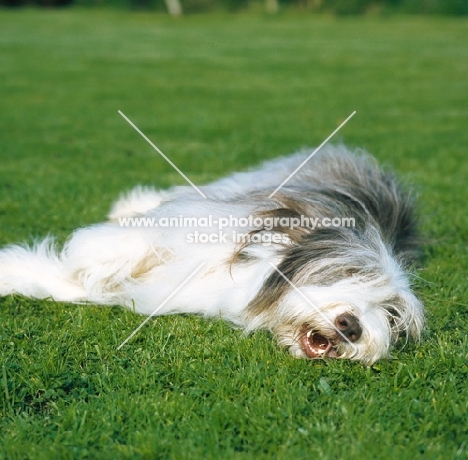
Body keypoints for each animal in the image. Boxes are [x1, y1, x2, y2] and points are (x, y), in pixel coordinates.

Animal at [0, 144, 424, 362]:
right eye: (347, 274)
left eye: (391, 315)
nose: (352, 325)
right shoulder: (214, 225)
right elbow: (126, 243)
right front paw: (94, 252)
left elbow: (62, 282)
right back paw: (130, 204)